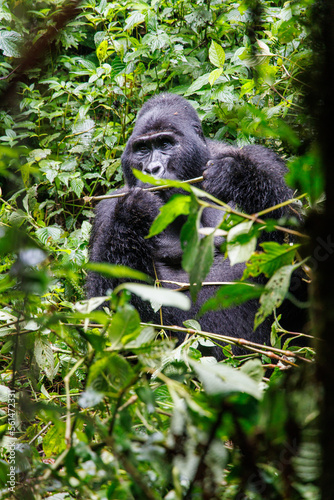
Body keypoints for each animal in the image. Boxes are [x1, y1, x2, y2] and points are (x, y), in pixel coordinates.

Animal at [87, 93, 306, 360]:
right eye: (142, 150)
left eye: (165, 144)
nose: (152, 169)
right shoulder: (105, 212)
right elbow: (105, 310)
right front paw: (135, 212)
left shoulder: (264, 161)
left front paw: (236, 176)